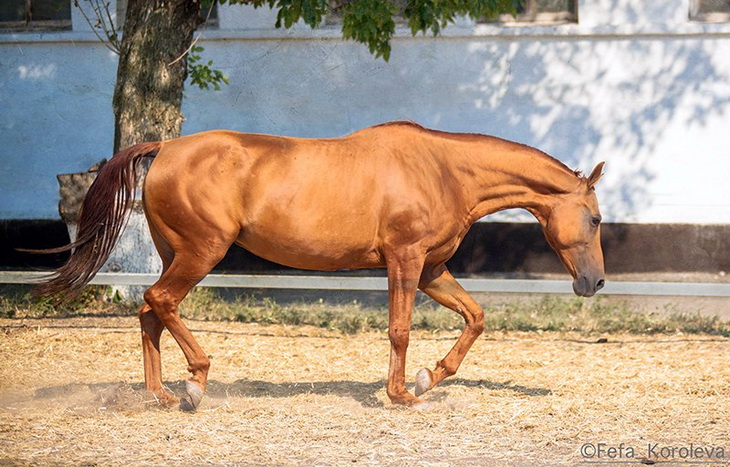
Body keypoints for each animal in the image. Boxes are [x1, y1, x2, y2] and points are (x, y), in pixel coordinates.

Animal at [34, 122, 604, 412]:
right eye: (596, 219)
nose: (595, 281)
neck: (442, 169)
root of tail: (167, 147)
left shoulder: (431, 269)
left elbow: (475, 317)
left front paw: (428, 378)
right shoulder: (405, 259)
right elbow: (399, 329)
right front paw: (401, 393)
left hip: (176, 254)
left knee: (150, 313)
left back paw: (162, 394)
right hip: (201, 253)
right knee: (161, 301)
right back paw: (195, 383)